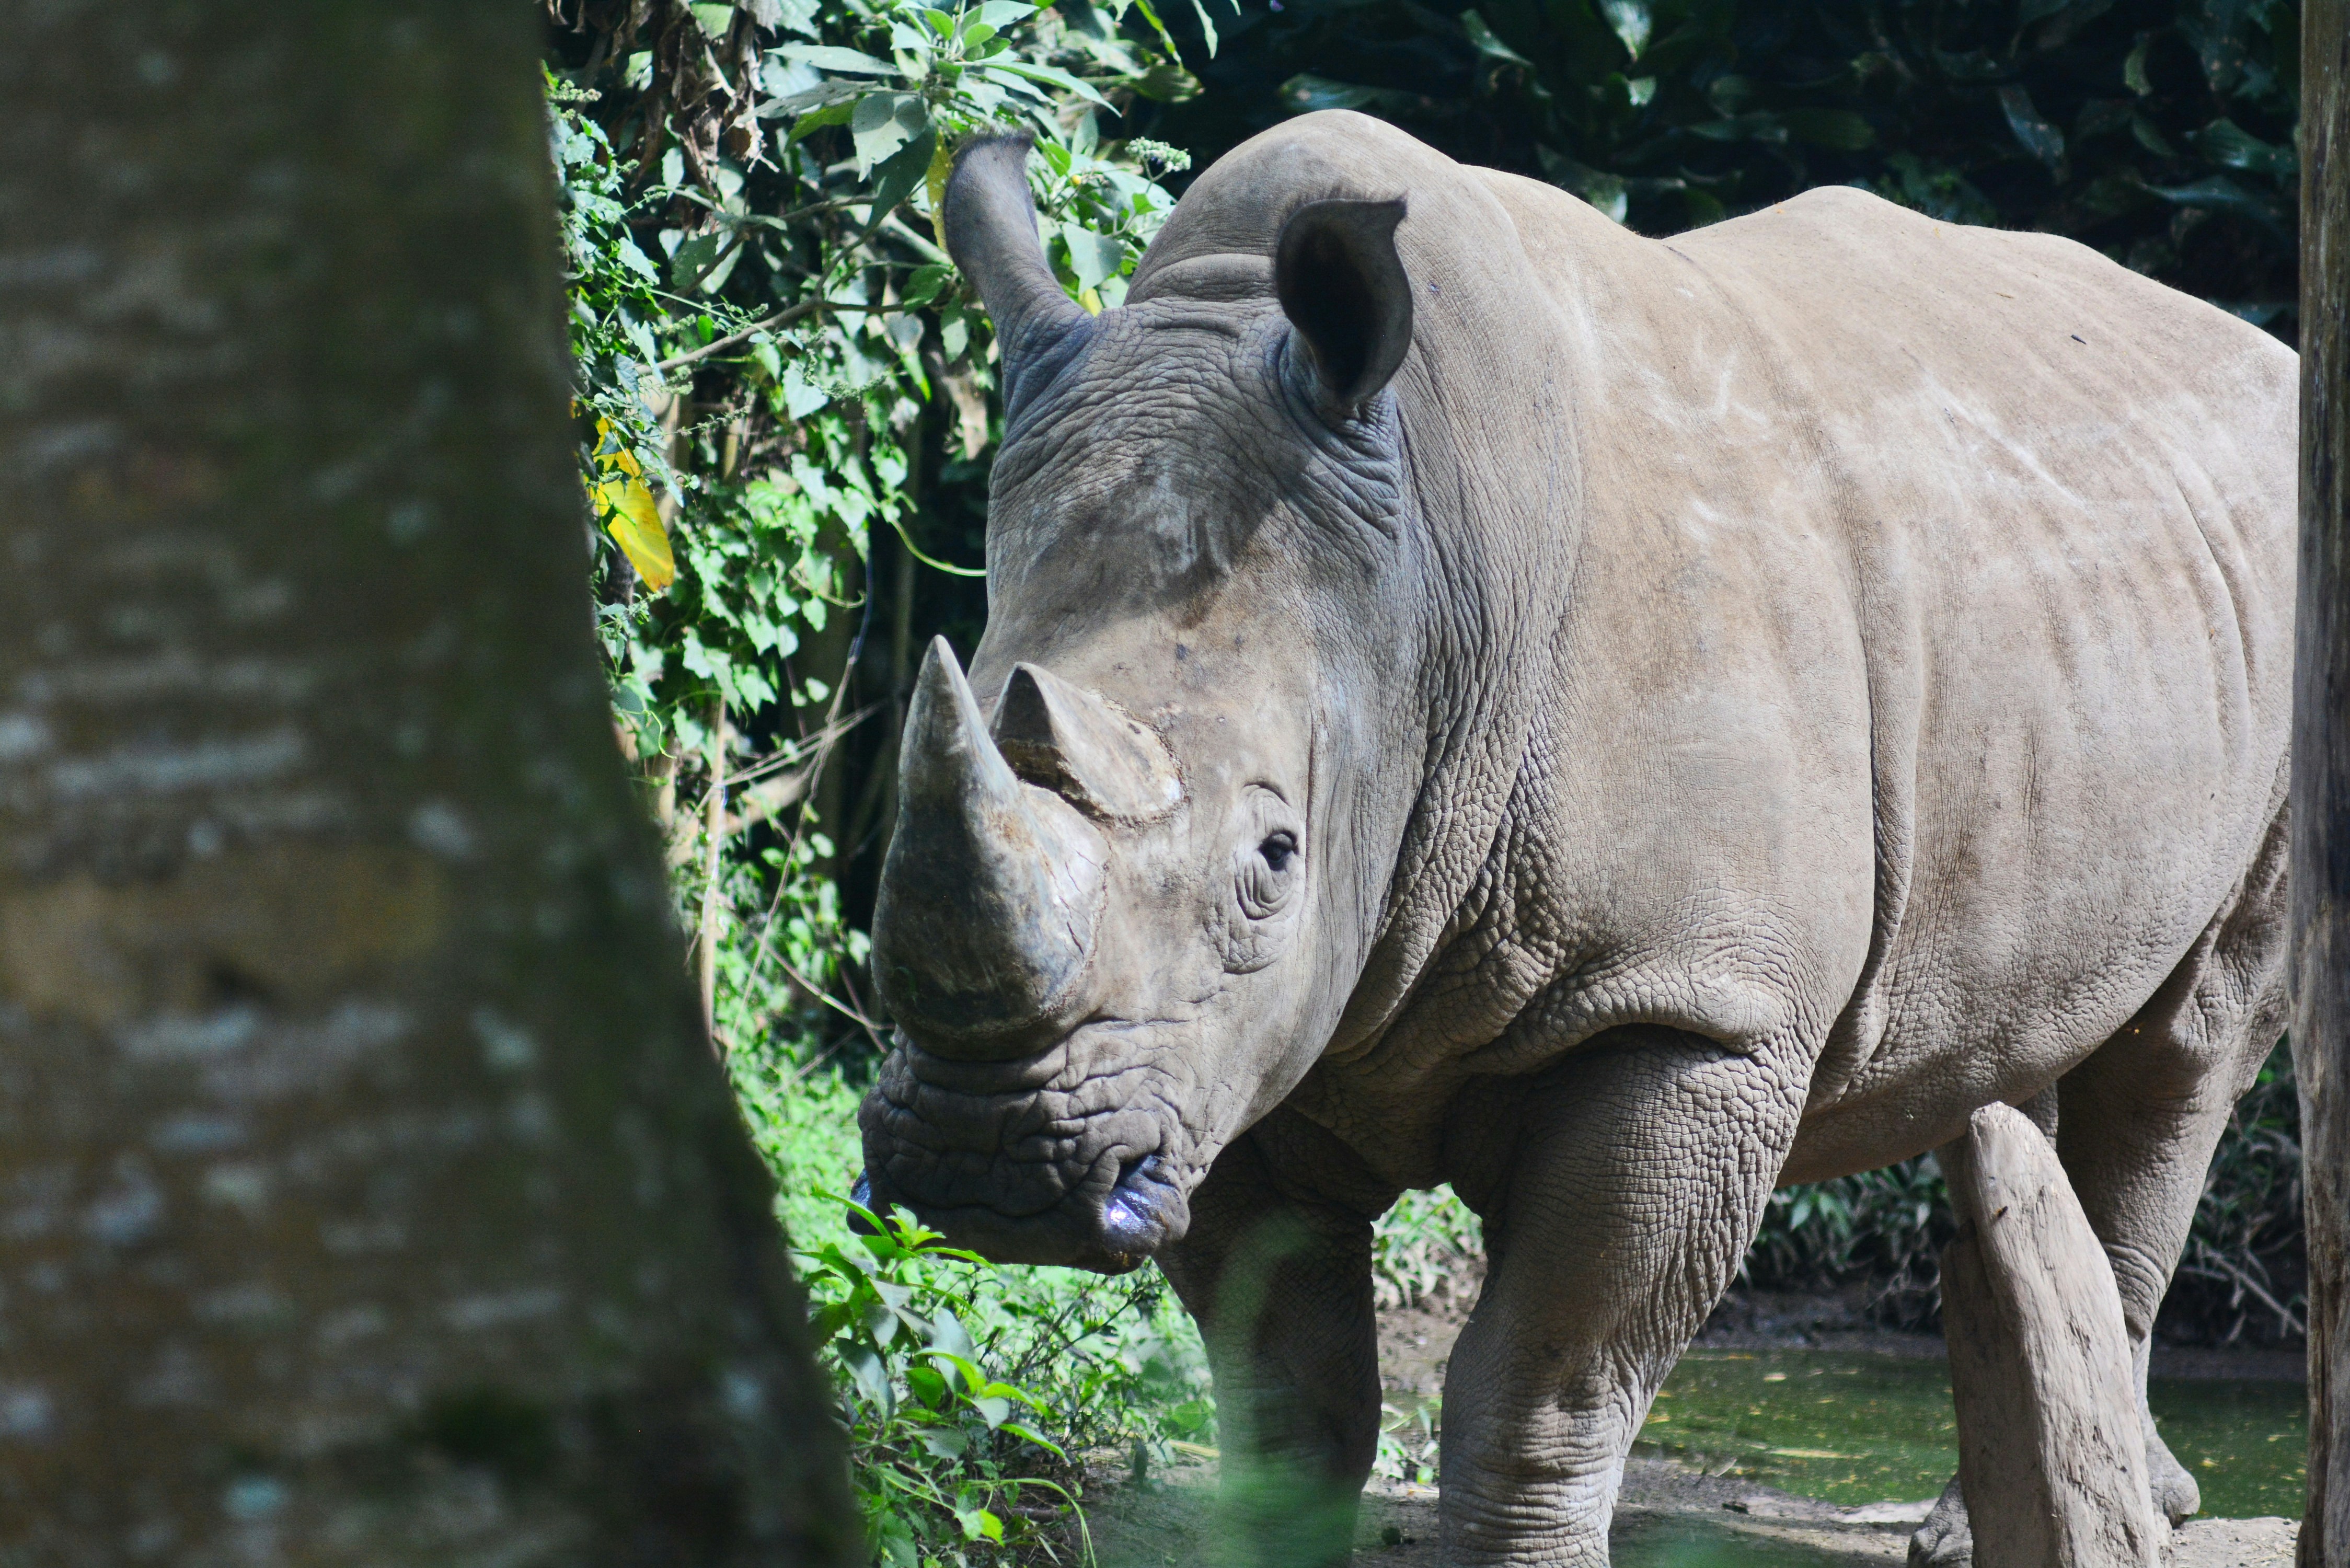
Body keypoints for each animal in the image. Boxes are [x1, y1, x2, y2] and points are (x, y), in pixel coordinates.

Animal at [855, 112, 2295, 1566]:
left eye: (1273, 860)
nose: (985, 1165)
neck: (1432, 573)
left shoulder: (1688, 1005)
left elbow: (1539, 1389)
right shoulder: (1216, 1058)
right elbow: (1290, 1396)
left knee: (2186, 1048)